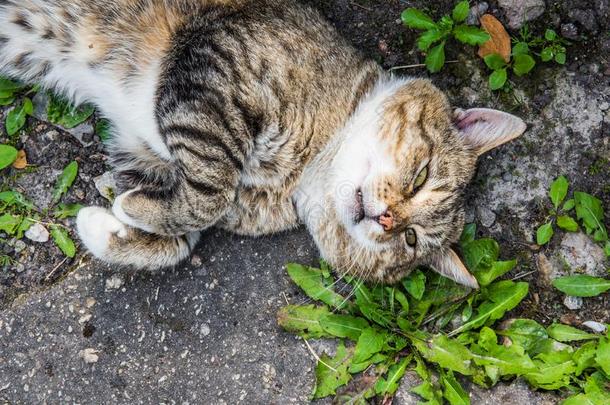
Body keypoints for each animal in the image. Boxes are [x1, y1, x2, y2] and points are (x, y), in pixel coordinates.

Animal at [0, 0, 524, 288]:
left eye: (410, 240)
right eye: (420, 177)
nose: (388, 220)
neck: (300, 177)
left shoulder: (148, 153)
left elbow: (181, 236)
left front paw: (109, 223)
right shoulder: (217, 67)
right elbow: (209, 192)